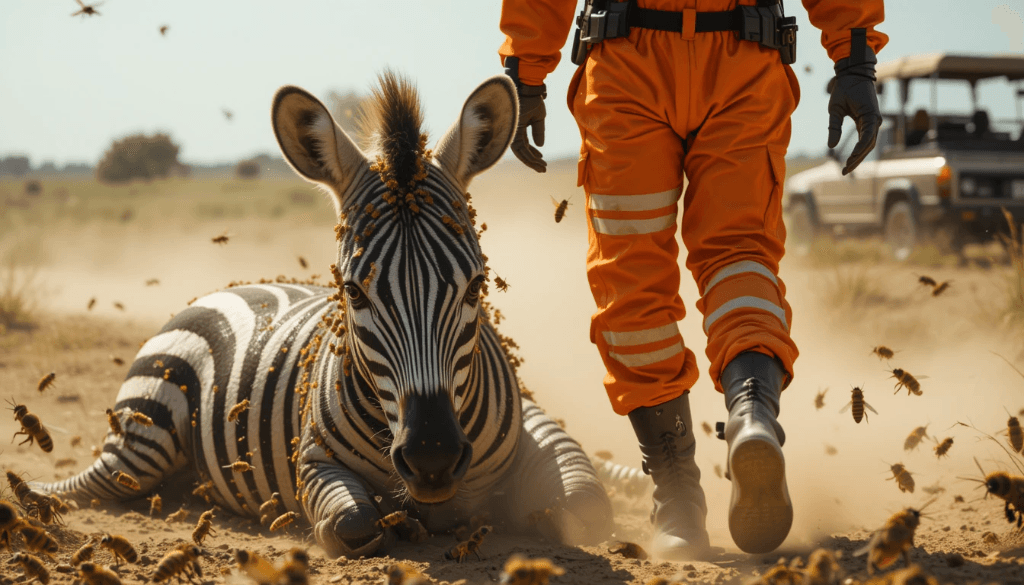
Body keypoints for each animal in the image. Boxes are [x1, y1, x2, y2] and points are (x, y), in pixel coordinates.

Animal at [35, 72, 614, 558]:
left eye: (477, 286)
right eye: (353, 293)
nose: (432, 458)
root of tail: (236, 286)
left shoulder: (537, 424)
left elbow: (585, 506)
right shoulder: (311, 461)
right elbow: (353, 521)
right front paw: (398, 523)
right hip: (143, 434)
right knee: (95, 483)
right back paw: (34, 496)